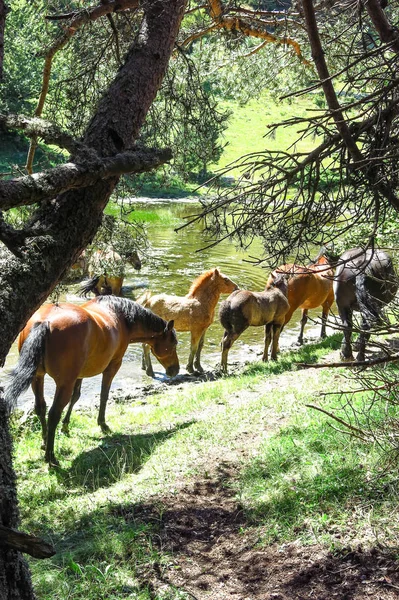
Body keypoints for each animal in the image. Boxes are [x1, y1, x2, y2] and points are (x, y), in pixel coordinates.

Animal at [4, 296, 178, 464]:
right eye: (174, 343)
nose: (175, 370)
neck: (120, 316)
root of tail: (44, 322)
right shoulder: (112, 366)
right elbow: (104, 395)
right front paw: (103, 424)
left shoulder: (79, 374)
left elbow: (75, 397)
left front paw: (66, 426)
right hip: (64, 383)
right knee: (53, 413)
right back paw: (50, 457)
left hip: (38, 377)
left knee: (40, 407)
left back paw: (45, 442)